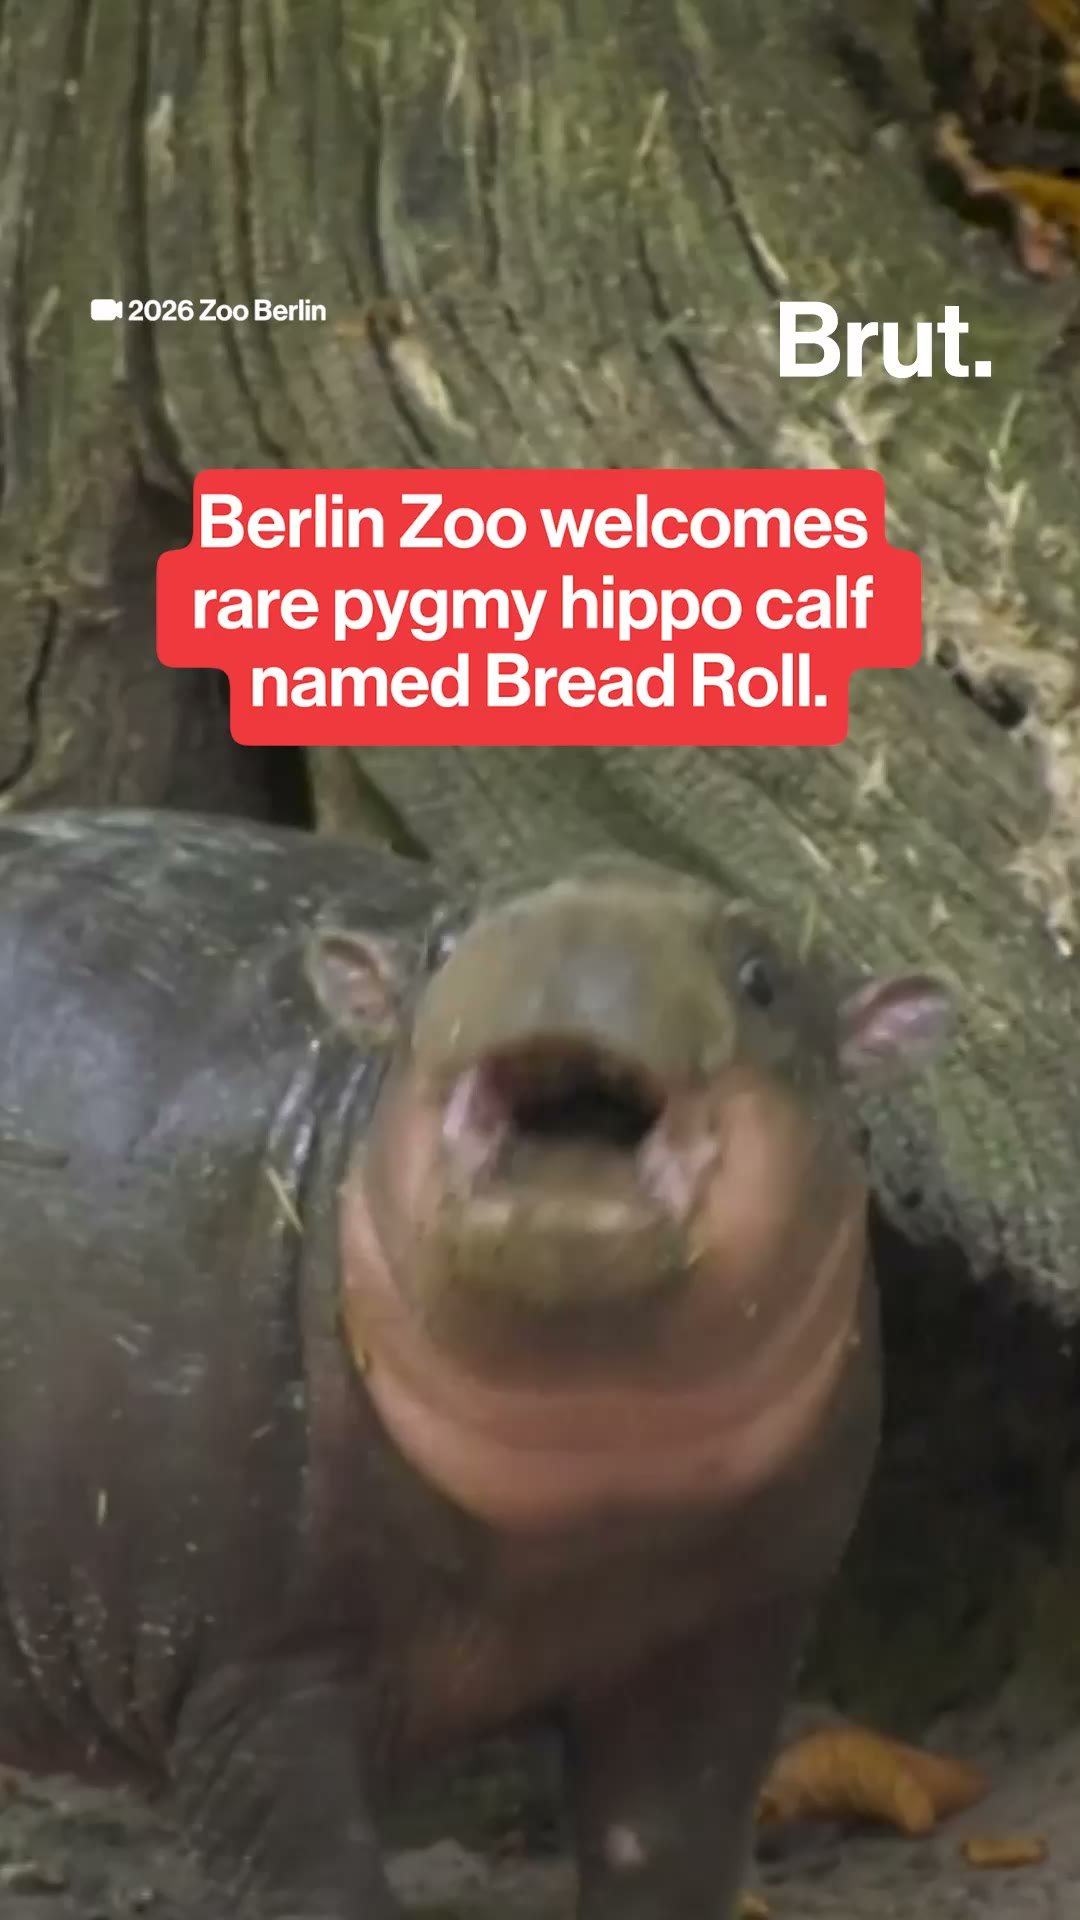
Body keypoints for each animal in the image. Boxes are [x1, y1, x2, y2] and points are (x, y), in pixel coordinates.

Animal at [0, 809, 951, 1919]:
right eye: (441, 946)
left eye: (764, 974)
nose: (580, 923)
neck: (586, 1487)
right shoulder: (250, 1665)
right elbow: (315, 1883)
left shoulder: (729, 1633)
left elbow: (665, 1851)